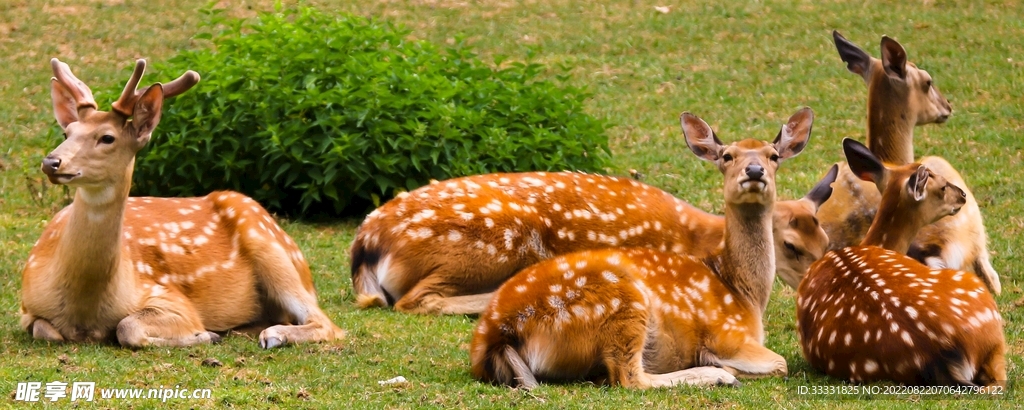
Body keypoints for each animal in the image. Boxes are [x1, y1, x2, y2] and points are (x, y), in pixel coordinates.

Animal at [19, 58, 344, 348]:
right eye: (67, 132)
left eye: (107, 137)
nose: (51, 162)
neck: (85, 310)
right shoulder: (25, 306)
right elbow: (44, 329)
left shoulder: (169, 297)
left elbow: (127, 327)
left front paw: (205, 334)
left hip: (272, 250)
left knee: (329, 324)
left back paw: (274, 335)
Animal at [350, 149, 835, 316]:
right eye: (791, 245)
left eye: (827, 241)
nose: (815, 286)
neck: (708, 243)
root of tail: (366, 242)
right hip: (494, 244)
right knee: (414, 300)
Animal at [468, 108, 813, 388]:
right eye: (727, 156)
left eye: (773, 155)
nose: (754, 171)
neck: (744, 293)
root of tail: (499, 334)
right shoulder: (729, 335)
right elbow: (781, 363)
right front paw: (721, 365)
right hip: (622, 304)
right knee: (629, 377)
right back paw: (717, 375)